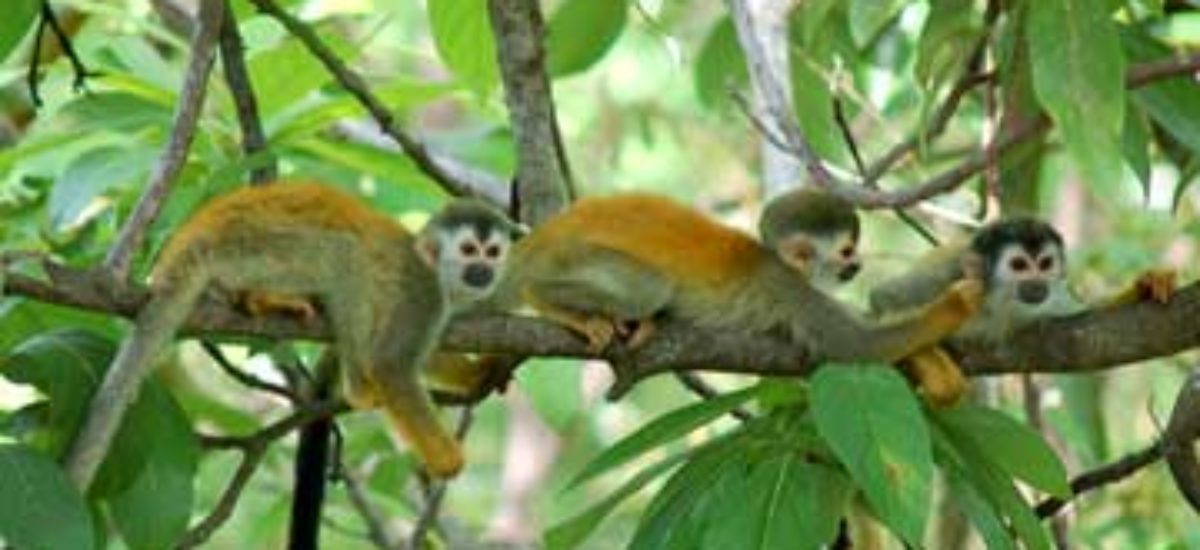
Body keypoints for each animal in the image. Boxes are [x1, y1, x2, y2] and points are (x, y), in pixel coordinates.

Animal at [64, 182, 521, 489]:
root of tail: (192, 237)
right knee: (345, 255)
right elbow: (392, 365)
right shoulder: (422, 295)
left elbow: (424, 357)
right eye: (468, 251)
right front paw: (447, 460)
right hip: (254, 248)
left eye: (493, 252)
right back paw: (352, 381)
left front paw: (478, 374)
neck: (438, 276)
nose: (483, 270)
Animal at [487, 189, 984, 368]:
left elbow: (873, 314)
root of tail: (539, 240)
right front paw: (958, 304)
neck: (777, 261)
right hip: (573, 257)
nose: (855, 266)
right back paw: (552, 302)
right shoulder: (789, 289)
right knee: (651, 289)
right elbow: (855, 346)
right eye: (845, 251)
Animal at [870, 217, 1176, 406]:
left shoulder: (1052, 298)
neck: (995, 303)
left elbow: (1084, 315)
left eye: (1045, 264)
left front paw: (1144, 285)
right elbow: (883, 298)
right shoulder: (947, 278)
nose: (1037, 283)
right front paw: (935, 359)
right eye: (1019, 265)